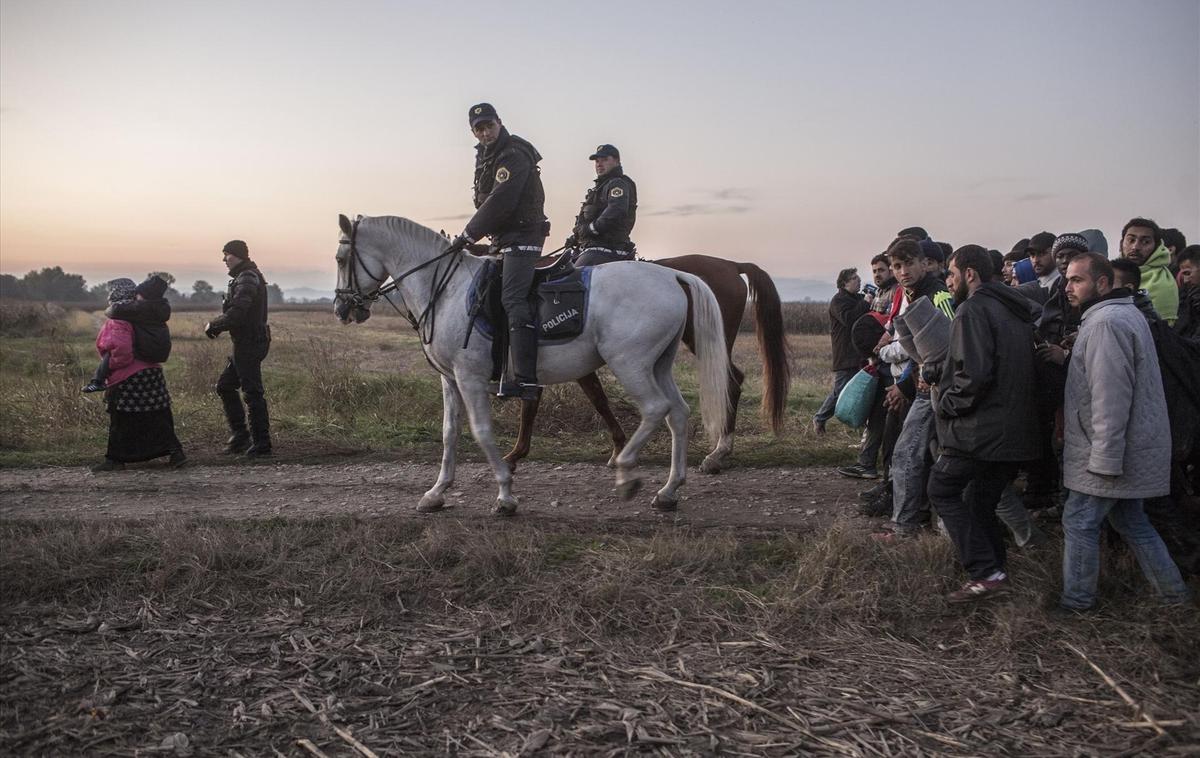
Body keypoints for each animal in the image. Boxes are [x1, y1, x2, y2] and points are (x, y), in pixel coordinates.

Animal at [336, 213, 729, 515]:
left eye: (341, 259)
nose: (342, 308)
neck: (446, 290)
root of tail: (671, 275)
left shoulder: (470, 378)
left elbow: (481, 431)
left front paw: (505, 495)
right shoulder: (450, 380)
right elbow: (450, 434)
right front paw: (436, 493)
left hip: (630, 364)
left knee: (655, 409)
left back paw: (626, 471)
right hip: (658, 365)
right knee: (678, 413)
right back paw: (669, 491)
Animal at [504, 254, 792, 474]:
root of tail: (732, 264)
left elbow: (592, 402)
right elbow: (589, 401)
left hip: (707, 343)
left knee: (731, 382)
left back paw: (718, 454)